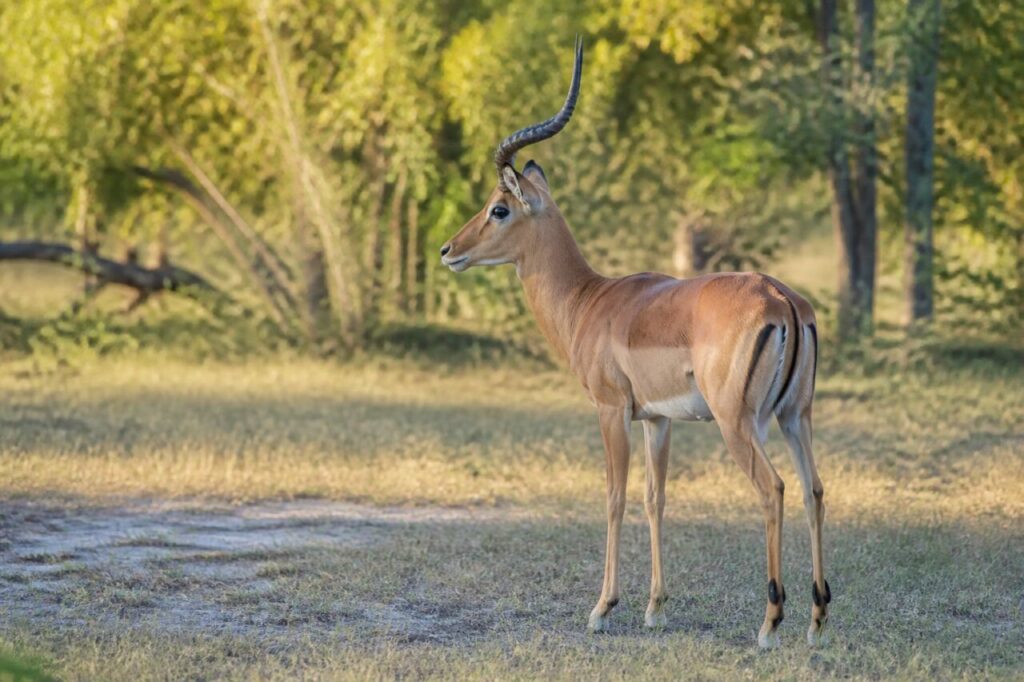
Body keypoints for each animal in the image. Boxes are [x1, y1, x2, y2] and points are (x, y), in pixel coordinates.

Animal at [440, 37, 831, 648]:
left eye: (499, 208)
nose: (448, 250)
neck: (589, 301)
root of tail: (781, 299)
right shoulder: (658, 419)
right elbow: (655, 499)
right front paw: (655, 608)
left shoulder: (610, 410)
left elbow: (614, 497)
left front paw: (602, 607)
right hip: (796, 416)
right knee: (814, 490)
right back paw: (816, 620)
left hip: (739, 422)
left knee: (774, 490)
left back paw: (770, 623)